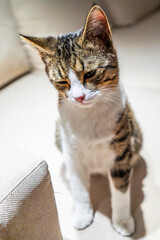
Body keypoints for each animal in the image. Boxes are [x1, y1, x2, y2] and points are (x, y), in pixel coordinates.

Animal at [20, 4, 142, 237]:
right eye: (62, 82)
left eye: (90, 73)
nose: (78, 97)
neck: (90, 116)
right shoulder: (71, 150)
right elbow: (78, 188)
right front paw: (83, 214)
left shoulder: (121, 149)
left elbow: (121, 189)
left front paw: (122, 222)